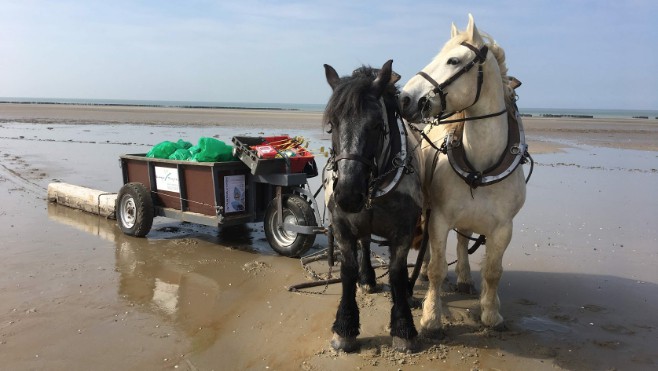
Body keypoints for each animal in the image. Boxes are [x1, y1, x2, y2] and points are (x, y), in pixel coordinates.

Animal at [398, 14, 524, 336]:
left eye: (453, 60)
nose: (403, 99)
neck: (481, 167)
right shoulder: (439, 218)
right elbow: (437, 268)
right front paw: (431, 317)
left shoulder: (503, 228)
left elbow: (493, 271)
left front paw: (490, 313)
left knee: (464, 241)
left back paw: (466, 278)